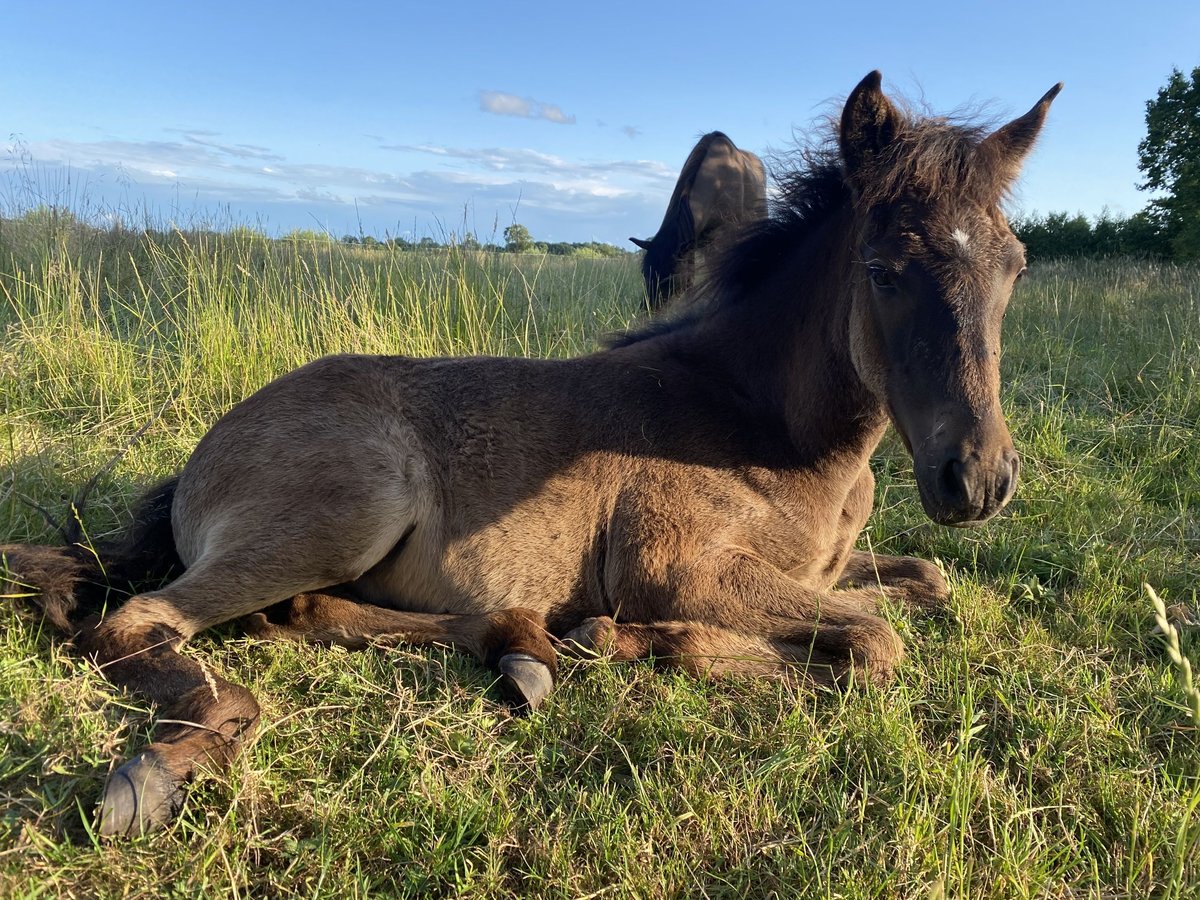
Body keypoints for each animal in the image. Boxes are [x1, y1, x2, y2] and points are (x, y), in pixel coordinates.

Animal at [4, 70, 1065, 840]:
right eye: (883, 271)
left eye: (1015, 267)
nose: (979, 480)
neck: (773, 433)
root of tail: (201, 458)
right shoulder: (675, 570)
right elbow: (875, 642)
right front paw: (643, 641)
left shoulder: (827, 568)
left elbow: (922, 584)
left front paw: (608, 640)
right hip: (345, 511)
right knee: (142, 623)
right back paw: (160, 770)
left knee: (302, 615)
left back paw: (521, 651)